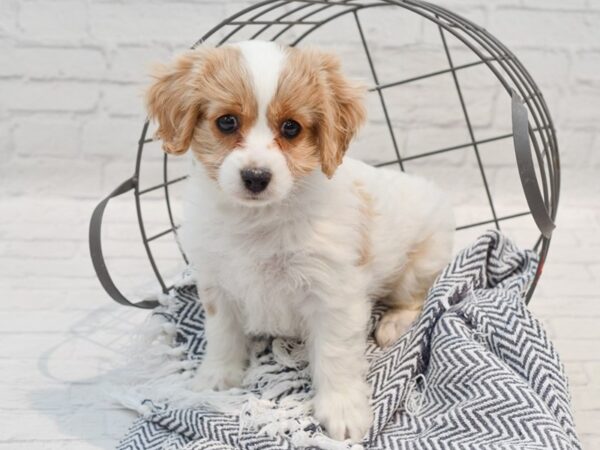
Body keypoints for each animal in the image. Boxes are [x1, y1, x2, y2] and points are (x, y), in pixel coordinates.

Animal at [145, 40, 454, 442]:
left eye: (291, 128)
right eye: (227, 122)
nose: (256, 176)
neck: (258, 220)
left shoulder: (334, 295)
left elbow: (336, 355)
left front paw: (342, 410)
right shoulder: (216, 283)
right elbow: (222, 333)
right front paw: (216, 376)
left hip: (419, 260)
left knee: (416, 295)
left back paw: (393, 323)